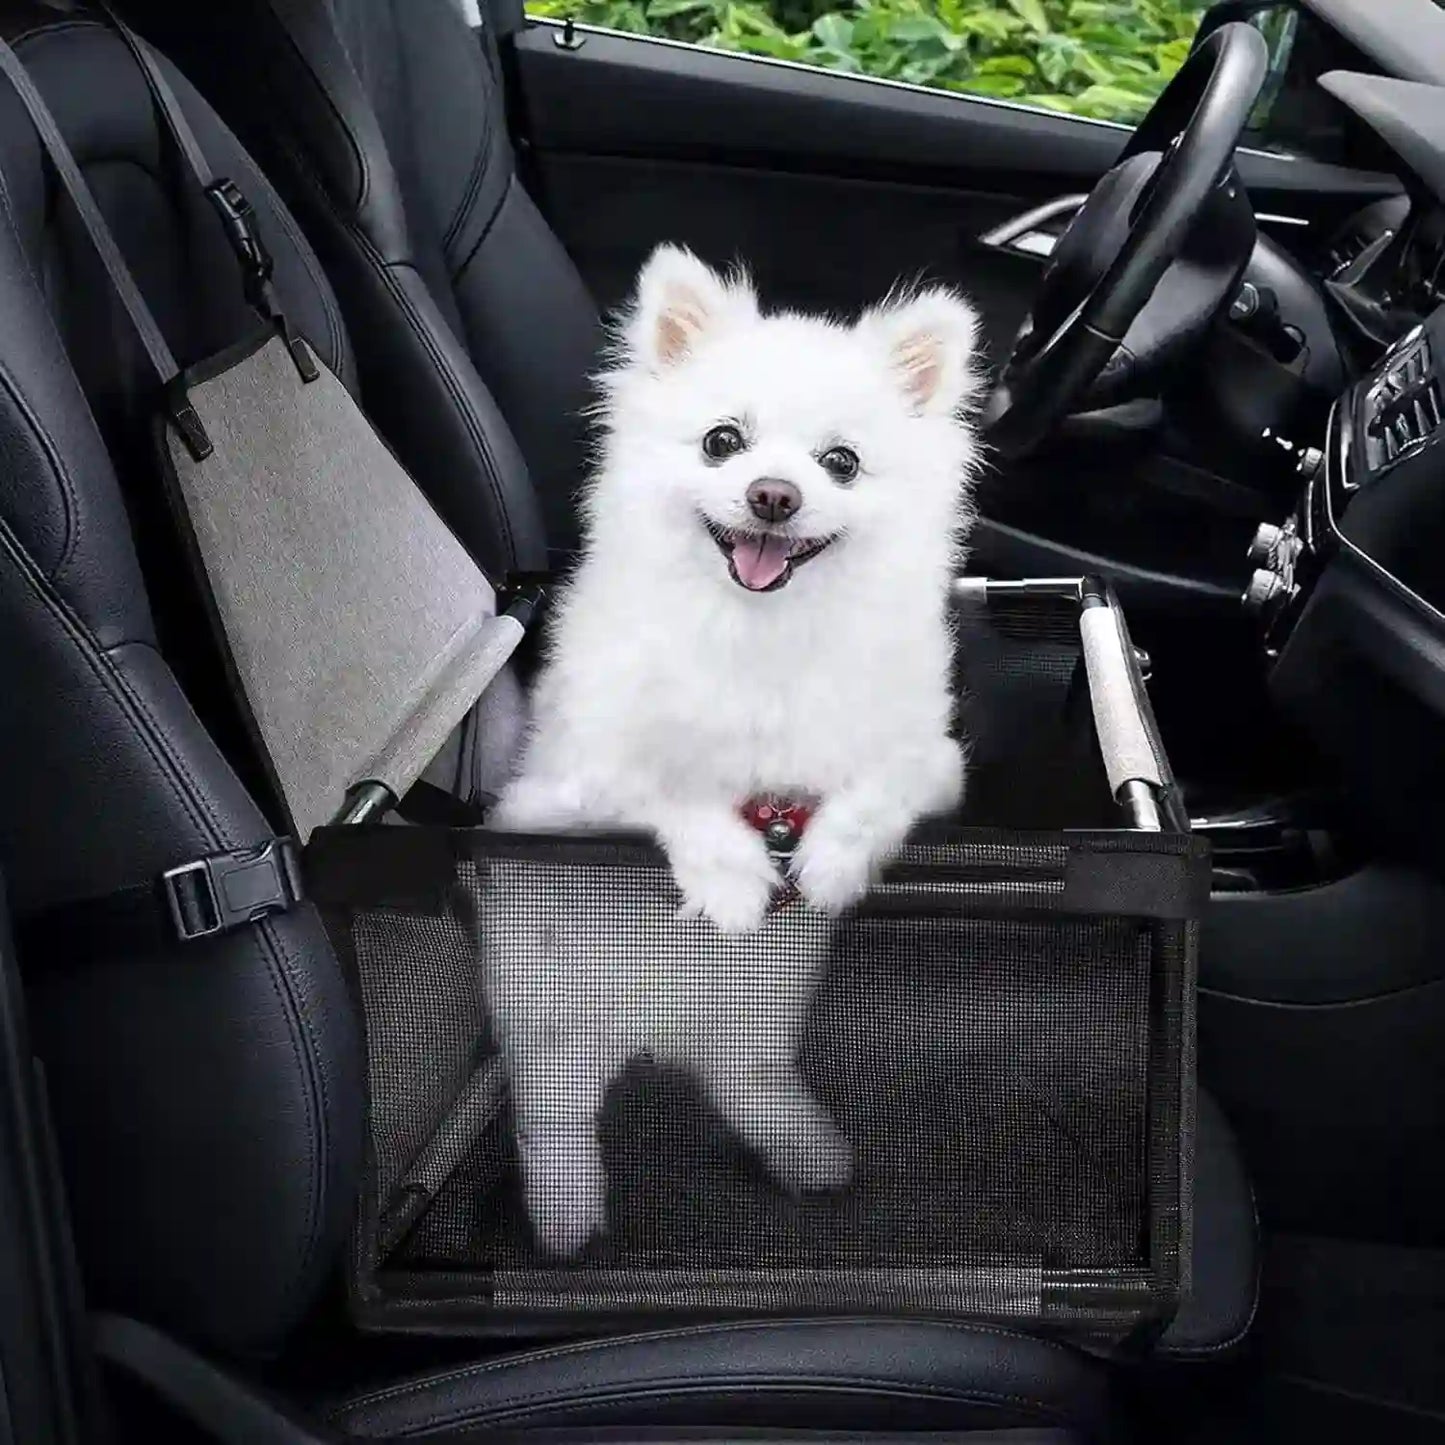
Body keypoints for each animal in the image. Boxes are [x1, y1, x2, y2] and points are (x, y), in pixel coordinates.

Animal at [488, 248, 982, 1254]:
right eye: (722, 442)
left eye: (840, 462)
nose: (772, 496)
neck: (761, 632)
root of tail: (659, 1021)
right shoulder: (567, 786)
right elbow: (666, 784)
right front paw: (729, 874)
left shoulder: (930, 760)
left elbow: (876, 784)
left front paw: (830, 859)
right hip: (554, 994)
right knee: (553, 1109)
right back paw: (567, 1217)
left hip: (759, 1003)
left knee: (743, 1074)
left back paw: (808, 1151)